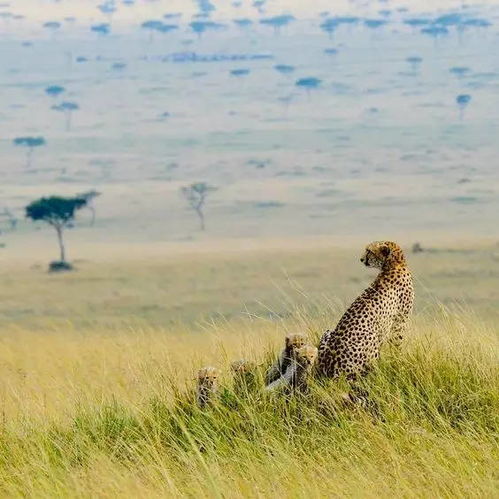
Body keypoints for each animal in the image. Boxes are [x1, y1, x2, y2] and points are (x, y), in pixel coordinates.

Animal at [318, 241, 416, 378]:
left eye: (369, 251)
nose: (361, 259)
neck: (394, 264)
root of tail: (330, 369)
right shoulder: (400, 320)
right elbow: (397, 342)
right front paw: (398, 360)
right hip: (371, 337)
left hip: (327, 332)